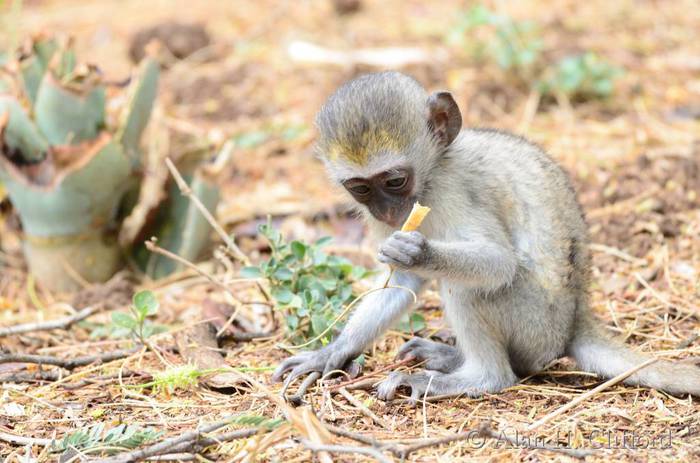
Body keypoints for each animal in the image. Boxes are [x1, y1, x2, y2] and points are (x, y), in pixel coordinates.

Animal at [272, 71, 700, 402]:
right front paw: (331, 352)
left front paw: (420, 253)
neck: (433, 173)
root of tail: (573, 324)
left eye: (394, 181)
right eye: (360, 189)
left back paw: (478, 377)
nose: (388, 212)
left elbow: (498, 261)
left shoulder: (455, 190)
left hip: (533, 323)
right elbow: (402, 282)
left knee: (470, 290)